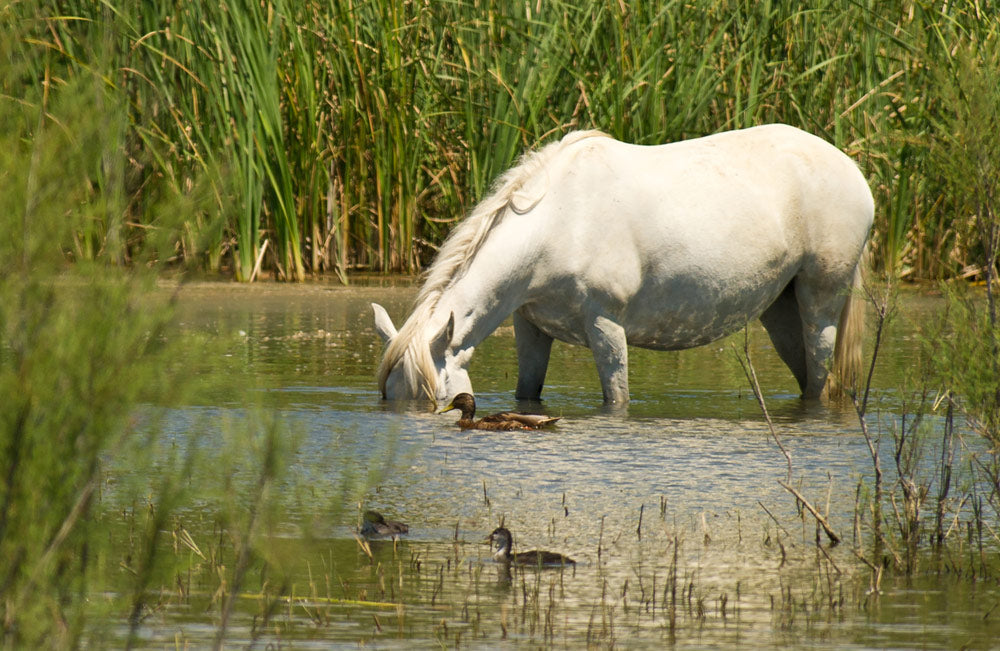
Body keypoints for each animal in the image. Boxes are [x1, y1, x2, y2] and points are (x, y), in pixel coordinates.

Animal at [372, 125, 872, 404]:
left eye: (442, 398)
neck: (560, 221)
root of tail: (853, 171)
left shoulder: (606, 325)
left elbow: (616, 398)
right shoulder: (529, 327)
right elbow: (527, 391)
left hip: (821, 298)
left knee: (820, 373)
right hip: (780, 308)